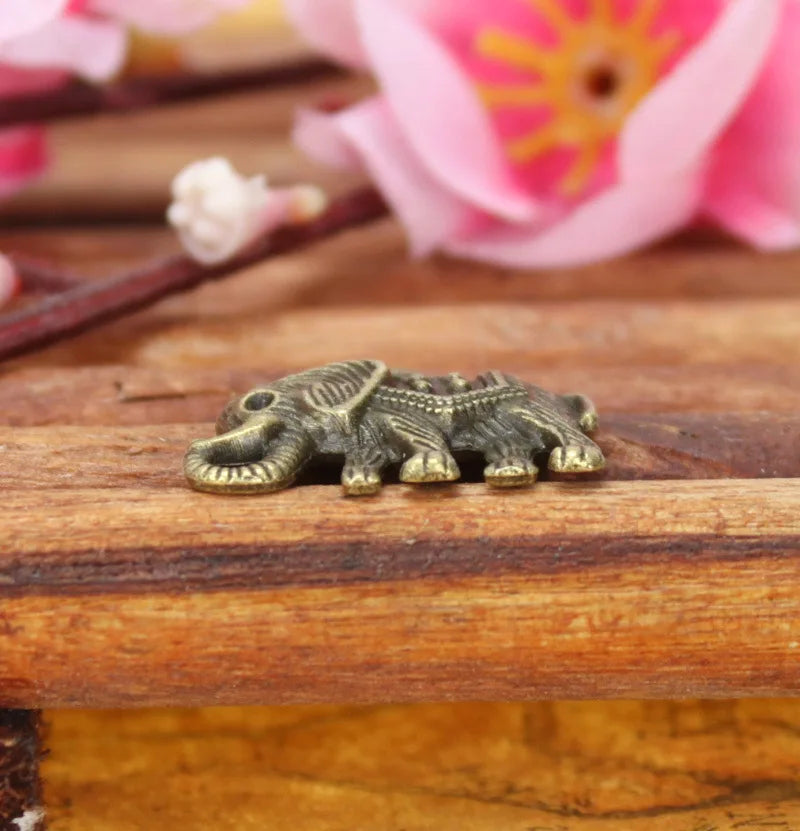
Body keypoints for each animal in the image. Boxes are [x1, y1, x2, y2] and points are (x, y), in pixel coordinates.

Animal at [184, 359, 605, 496]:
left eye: (260, 402)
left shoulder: (388, 414)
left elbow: (423, 434)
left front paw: (426, 472)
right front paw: (359, 481)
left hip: (532, 407)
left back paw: (576, 458)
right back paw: (509, 471)